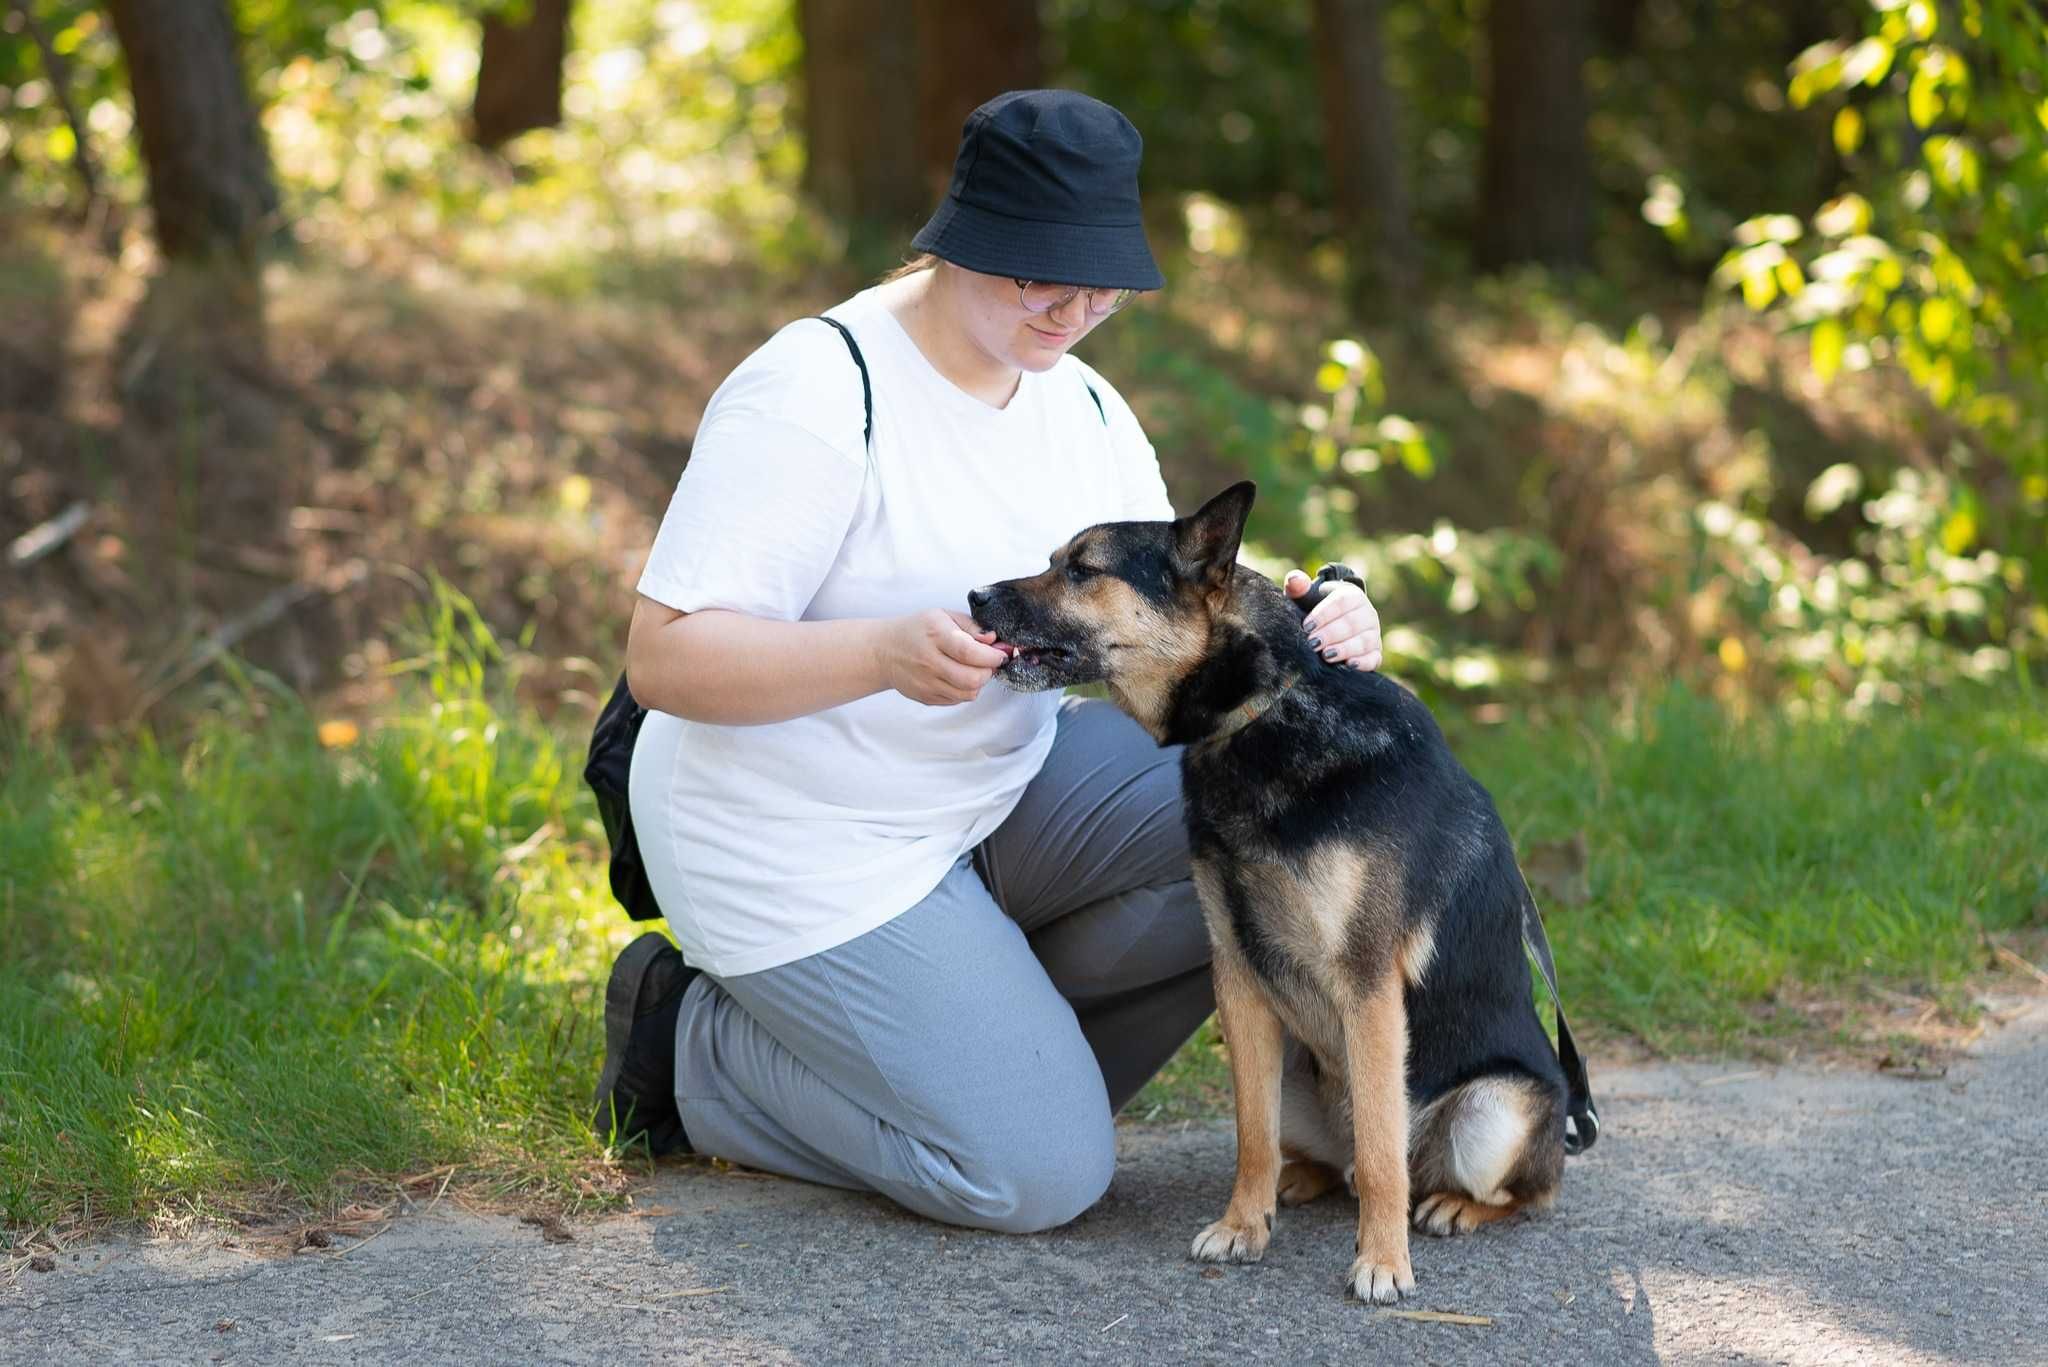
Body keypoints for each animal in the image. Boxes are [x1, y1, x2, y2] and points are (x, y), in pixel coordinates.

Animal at [966, 481, 1589, 1303]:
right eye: (1053, 561)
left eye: (1082, 569)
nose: (973, 597)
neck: (1265, 711)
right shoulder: (1237, 975)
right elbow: (1251, 1135)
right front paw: (1244, 1224)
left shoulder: (1368, 988)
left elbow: (1385, 1154)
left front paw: (1382, 1262)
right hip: (1301, 1072)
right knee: (1333, 1159)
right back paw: (1300, 1180)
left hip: (1498, 1110)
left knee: (1505, 1186)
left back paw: (1451, 1205)